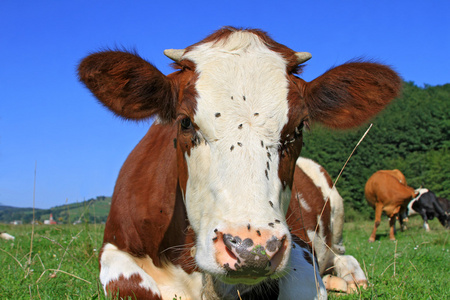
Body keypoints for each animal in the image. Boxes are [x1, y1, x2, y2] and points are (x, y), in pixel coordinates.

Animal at [78, 27, 400, 298]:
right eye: (184, 122)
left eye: (298, 128)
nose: (251, 249)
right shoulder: (114, 251)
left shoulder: (299, 248)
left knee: (342, 255)